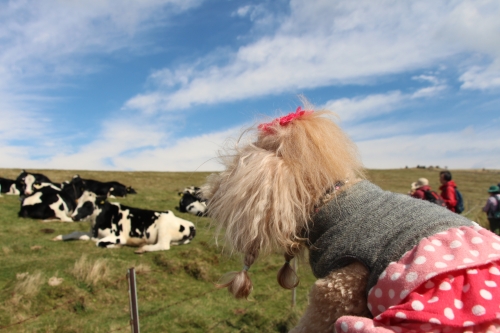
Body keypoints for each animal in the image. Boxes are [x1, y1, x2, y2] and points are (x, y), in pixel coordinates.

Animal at [54, 189, 195, 252]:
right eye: (78, 202)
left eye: (88, 205)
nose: (73, 217)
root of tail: (191, 225)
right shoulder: (92, 233)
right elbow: (77, 233)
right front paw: (59, 237)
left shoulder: (118, 236)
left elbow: (99, 243)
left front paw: (116, 246)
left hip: (163, 230)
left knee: (163, 246)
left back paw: (143, 248)